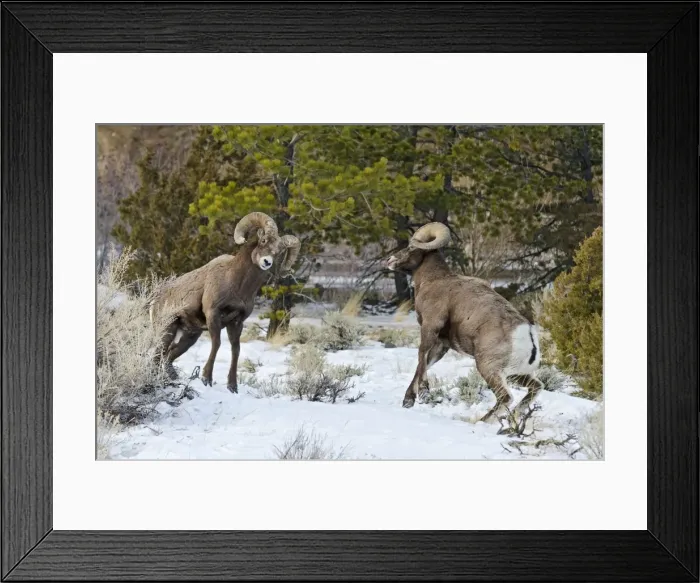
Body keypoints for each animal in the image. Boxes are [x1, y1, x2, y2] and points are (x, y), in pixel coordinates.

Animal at [150, 212, 301, 393]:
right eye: (263, 241)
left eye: (279, 252)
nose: (267, 262)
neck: (237, 284)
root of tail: (156, 298)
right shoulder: (213, 314)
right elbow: (217, 344)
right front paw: (206, 379)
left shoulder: (236, 322)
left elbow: (236, 350)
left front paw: (232, 386)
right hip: (167, 329)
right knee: (158, 354)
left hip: (189, 336)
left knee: (168, 356)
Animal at [386, 222, 543, 423]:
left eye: (412, 247)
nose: (390, 260)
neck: (434, 280)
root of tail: (528, 335)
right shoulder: (442, 344)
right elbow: (425, 362)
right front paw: (408, 400)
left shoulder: (430, 326)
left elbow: (421, 357)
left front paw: (423, 393)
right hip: (517, 373)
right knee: (535, 388)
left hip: (488, 368)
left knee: (505, 397)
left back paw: (481, 422)